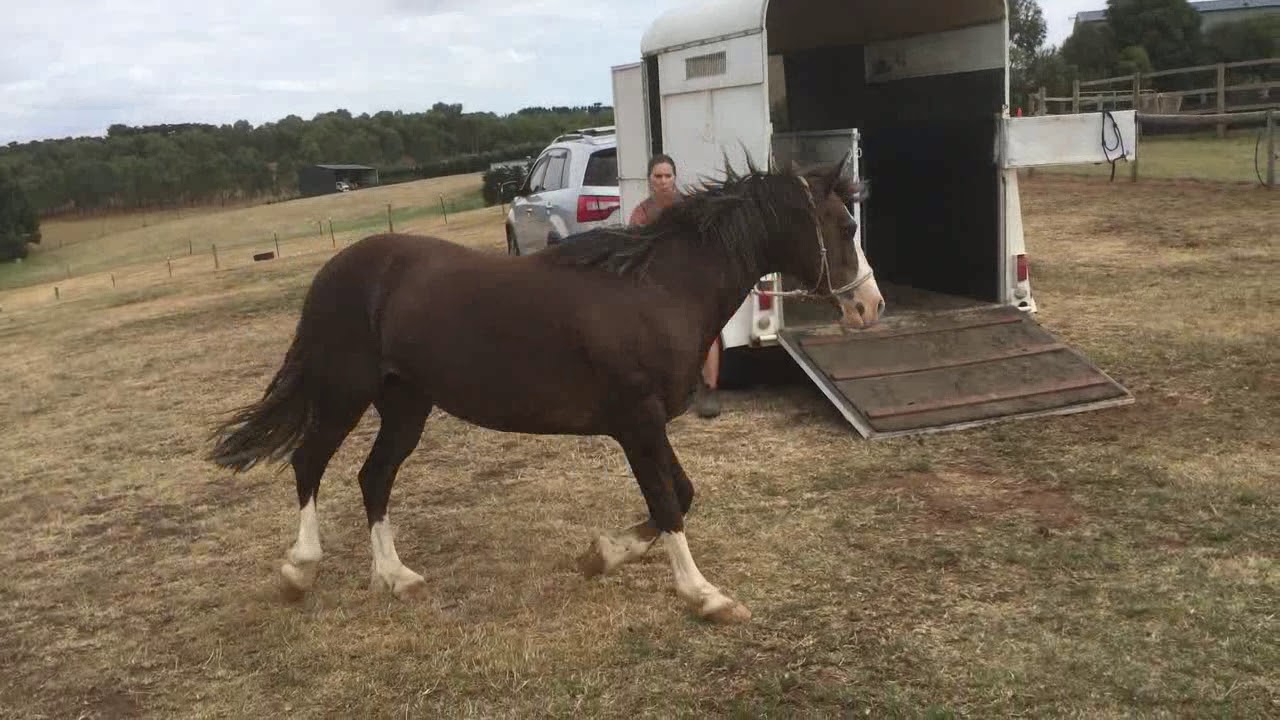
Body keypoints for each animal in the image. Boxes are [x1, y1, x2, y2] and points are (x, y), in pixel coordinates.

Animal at [206, 152, 885, 624]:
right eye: (844, 224)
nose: (869, 307)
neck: (656, 289)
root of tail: (336, 270)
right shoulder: (636, 422)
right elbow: (669, 503)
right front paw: (705, 596)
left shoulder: (648, 423)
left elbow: (682, 495)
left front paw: (602, 554)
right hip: (345, 391)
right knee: (309, 462)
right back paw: (300, 570)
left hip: (406, 402)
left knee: (373, 477)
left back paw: (396, 577)